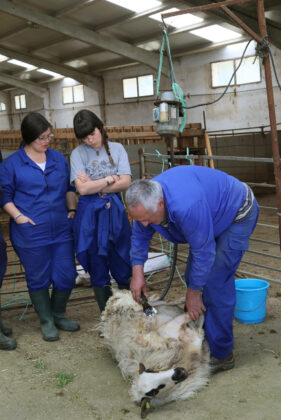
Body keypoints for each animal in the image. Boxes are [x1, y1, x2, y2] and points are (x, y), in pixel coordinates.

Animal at [99, 288, 210, 416]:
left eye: (151, 370)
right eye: (154, 391)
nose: (179, 373)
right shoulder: (180, 329)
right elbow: (194, 320)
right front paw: (197, 309)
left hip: (136, 304)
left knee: (159, 302)